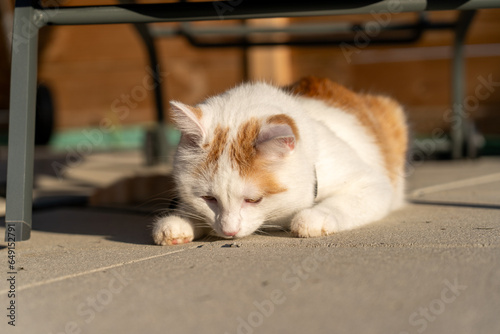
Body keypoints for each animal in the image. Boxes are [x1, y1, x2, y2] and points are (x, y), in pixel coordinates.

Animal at [151, 77, 406, 247]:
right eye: (208, 198)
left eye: (254, 200)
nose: (229, 231)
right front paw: (177, 222)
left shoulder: (373, 184)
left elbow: (344, 202)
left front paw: (313, 218)